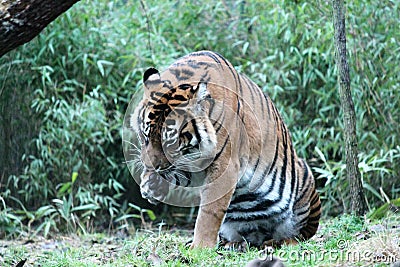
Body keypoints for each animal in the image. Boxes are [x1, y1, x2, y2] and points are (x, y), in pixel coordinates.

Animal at [130, 50, 320, 249]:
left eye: (170, 143)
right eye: (145, 136)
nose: (150, 166)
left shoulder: (224, 166)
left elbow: (209, 212)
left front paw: (200, 248)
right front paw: (150, 185)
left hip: (304, 185)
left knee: (301, 234)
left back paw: (276, 242)